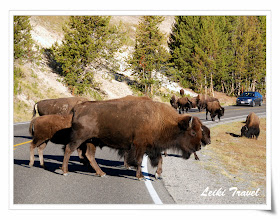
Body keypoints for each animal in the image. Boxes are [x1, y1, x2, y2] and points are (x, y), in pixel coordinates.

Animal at [61, 99, 206, 180]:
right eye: (193, 132)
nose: (199, 146)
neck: (160, 119)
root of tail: (79, 107)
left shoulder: (153, 148)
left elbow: (160, 159)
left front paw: (158, 174)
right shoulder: (139, 146)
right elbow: (139, 160)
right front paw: (140, 177)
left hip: (92, 141)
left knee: (89, 155)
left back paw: (101, 173)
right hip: (79, 138)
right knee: (68, 149)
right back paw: (65, 171)